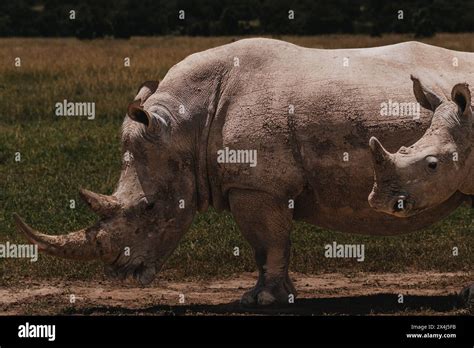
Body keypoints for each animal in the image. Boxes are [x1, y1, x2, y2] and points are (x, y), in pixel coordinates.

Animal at [12, 37, 474, 304]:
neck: (183, 125)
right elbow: (267, 244)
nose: (118, 273)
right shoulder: (256, 184)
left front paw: (262, 301)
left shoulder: (255, 184)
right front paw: (276, 296)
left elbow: (267, 242)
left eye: (148, 208)